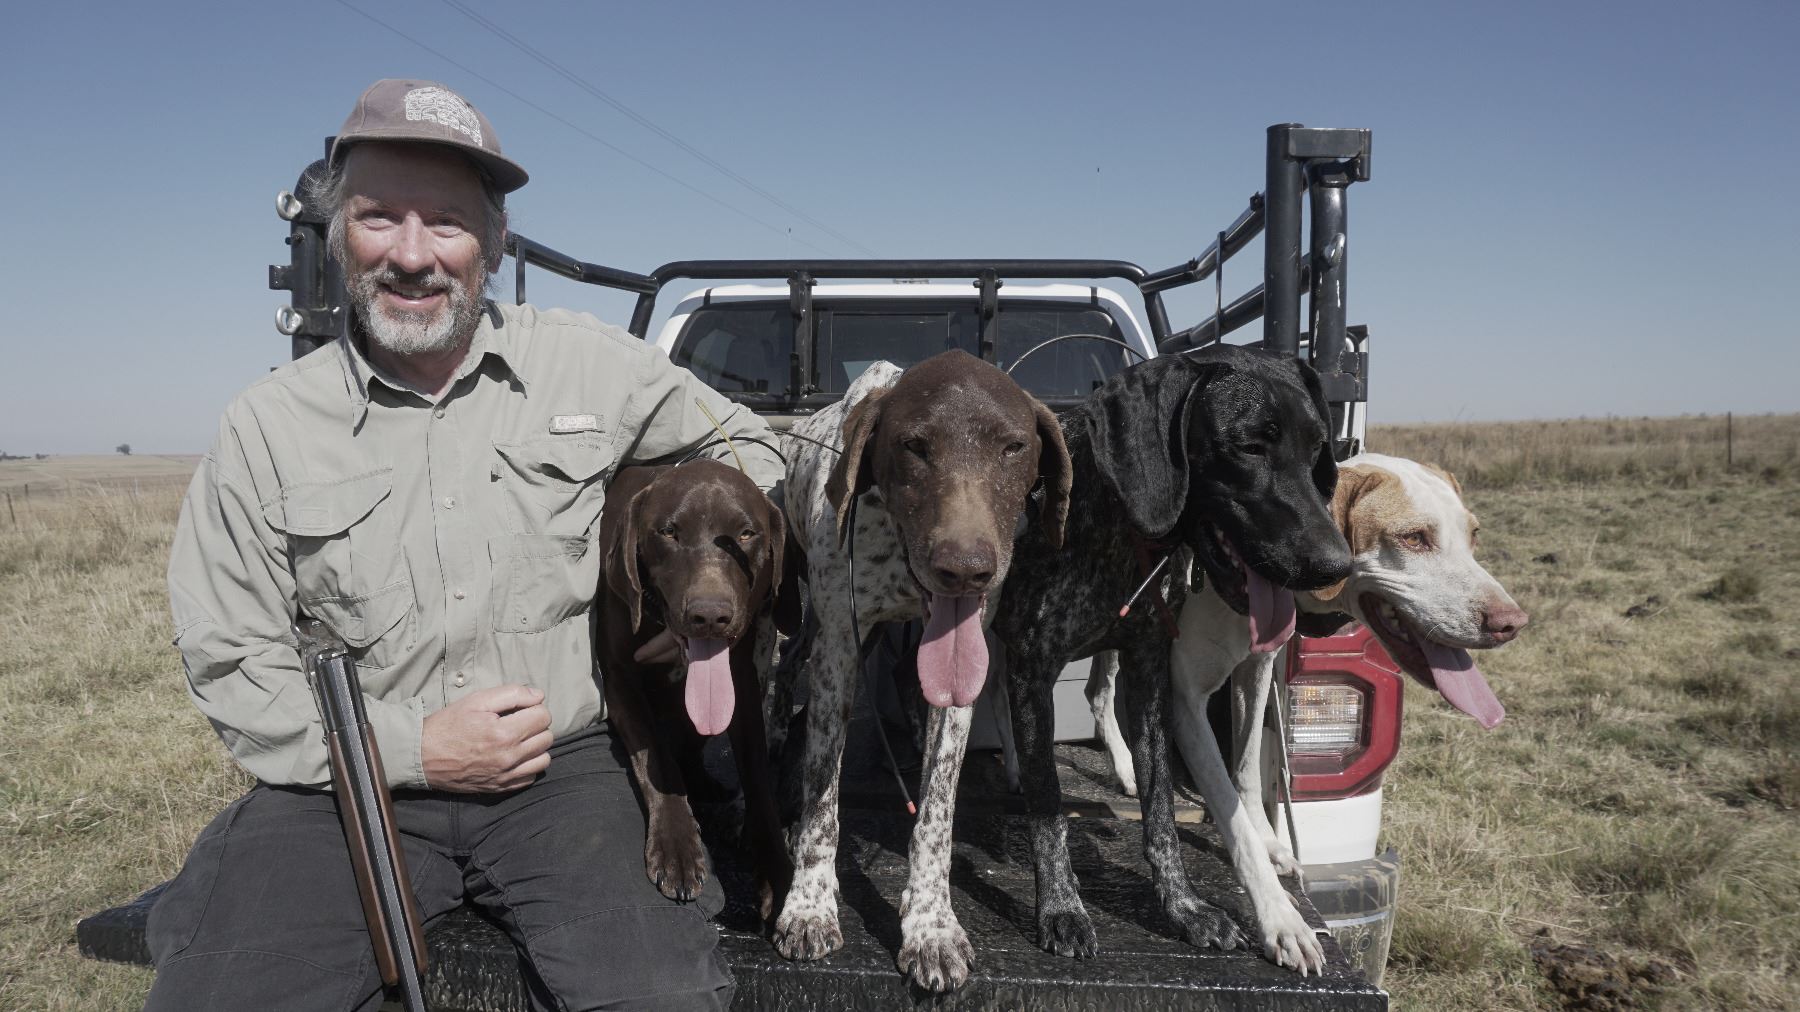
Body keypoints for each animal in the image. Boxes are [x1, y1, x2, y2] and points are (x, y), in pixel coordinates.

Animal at [597, 459, 793, 923]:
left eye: (746, 534)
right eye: (669, 532)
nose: (709, 616)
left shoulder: (741, 683)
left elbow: (759, 779)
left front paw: (776, 872)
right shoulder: (618, 677)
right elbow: (656, 757)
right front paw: (677, 847)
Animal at [771, 350, 1071, 992]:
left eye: (1014, 447)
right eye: (913, 446)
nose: (966, 569)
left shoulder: (957, 682)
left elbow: (937, 811)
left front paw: (930, 924)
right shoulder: (838, 654)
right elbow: (822, 798)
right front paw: (809, 903)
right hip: (816, 623)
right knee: (788, 664)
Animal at [990, 344, 1352, 965]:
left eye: (1317, 450)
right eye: (1249, 446)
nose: (1336, 566)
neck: (1111, 524)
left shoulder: (1149, 670)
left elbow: (1160, 811)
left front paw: (1184, 908)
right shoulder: (1033, 669)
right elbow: (1049, 806)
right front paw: (1061, 908)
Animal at [1090, 452, 1529, 973]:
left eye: (1473, 535)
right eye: (1414, 538)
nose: (1512, 623)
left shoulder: (1256, 668)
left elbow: (1246, 770)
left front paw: (1269, 841)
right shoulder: (1186, 699)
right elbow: (1233, 821)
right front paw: (1281, 919)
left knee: (1096, 690)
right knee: (1097, 691)